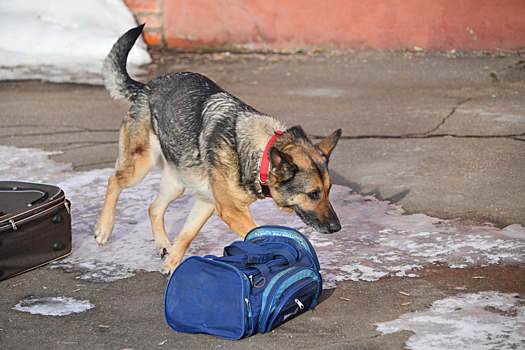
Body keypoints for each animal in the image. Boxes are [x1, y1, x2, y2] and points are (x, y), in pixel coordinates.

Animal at [94, 24, 342, 276]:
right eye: (313, 194)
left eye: (329, 190)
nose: (337, 227)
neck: (259, 156)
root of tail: (147, 86)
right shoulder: (231, 211)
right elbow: (258, 232)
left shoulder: (207, 202)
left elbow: (187, 234)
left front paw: (172, 265)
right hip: (140, 167)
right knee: (114, 181)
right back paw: (104, 228)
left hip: (178, 182)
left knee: (154, 208)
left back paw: (162, 243)